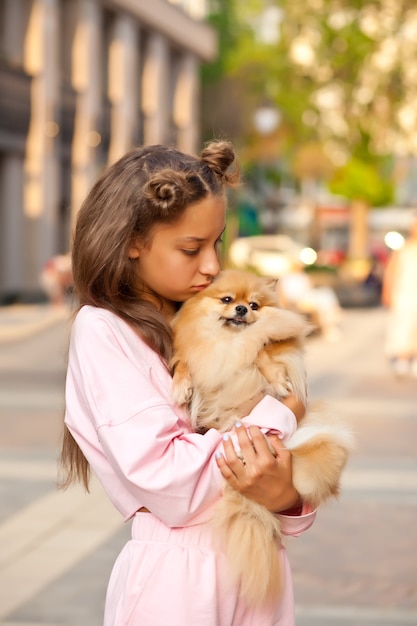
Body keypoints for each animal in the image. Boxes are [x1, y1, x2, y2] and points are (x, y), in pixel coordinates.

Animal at [171, 268, 352, 604]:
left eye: (254, 305)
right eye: (227, 300)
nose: (242, 309)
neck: (230, 342)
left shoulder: (275, 344)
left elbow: (263, 349)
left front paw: (277, 381)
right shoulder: (196, 350)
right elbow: (186, 362)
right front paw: (180, 385)